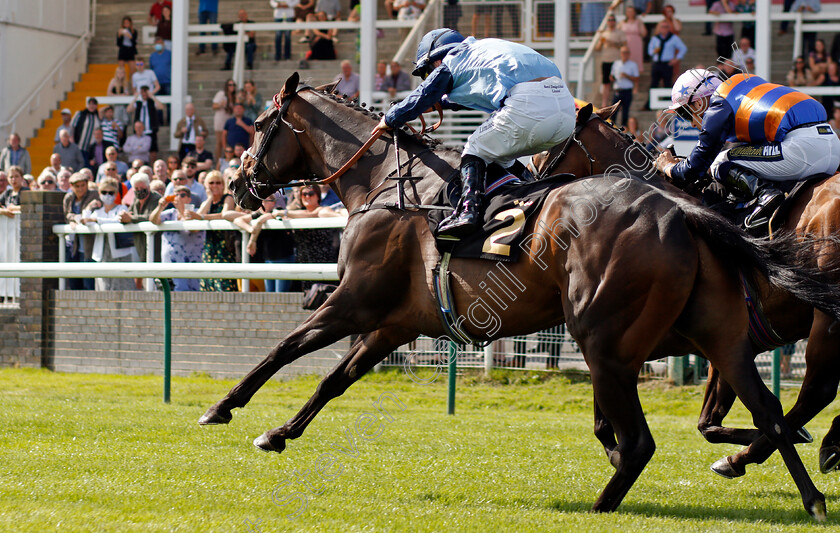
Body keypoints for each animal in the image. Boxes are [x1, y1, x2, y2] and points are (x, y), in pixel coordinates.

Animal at [532, 104, 840, 474]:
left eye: (546, 148)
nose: (533, 191)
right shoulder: (732, 344)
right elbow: (708, 422)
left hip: (826, 321)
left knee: (817, 390)